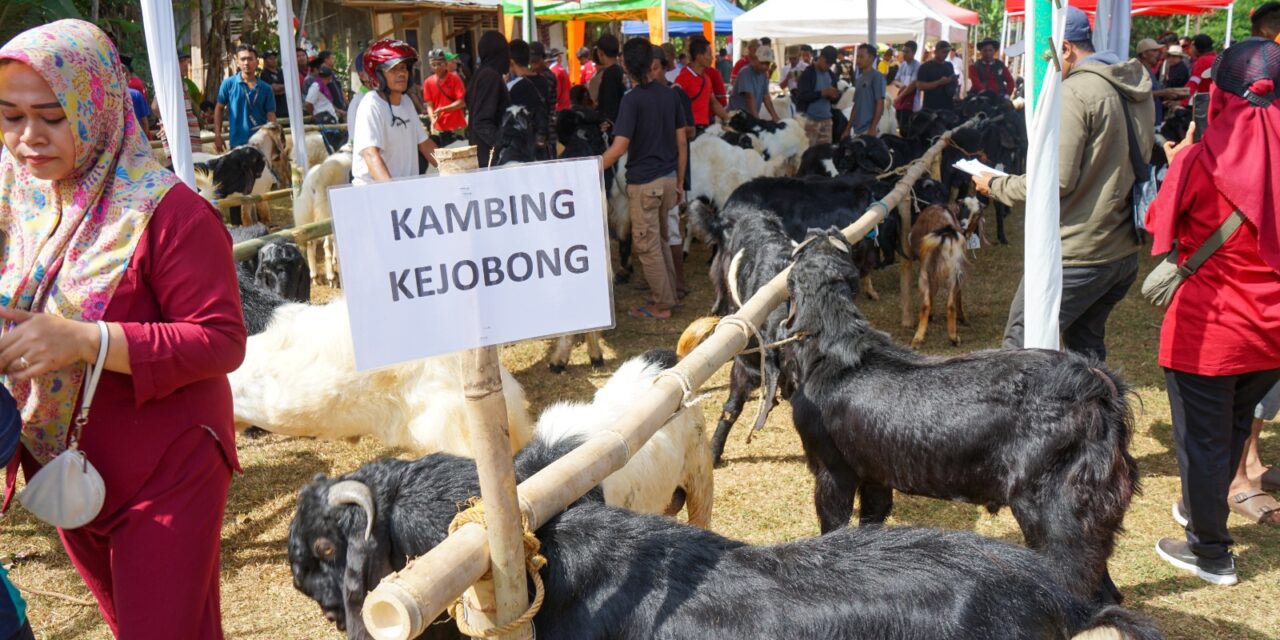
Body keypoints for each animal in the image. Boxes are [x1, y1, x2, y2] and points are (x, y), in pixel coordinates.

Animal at [778, 230, 1141, 604]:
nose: (819, 231)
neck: (831, 348)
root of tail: (1098, 389)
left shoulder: (832, 471)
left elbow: (833, 526)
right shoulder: (875, 474)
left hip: (1056, 511)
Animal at [911, 199, 977, 350]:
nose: (969, 231)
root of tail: (946, 231)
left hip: (927, 271)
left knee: (927, 304)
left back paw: (918, 339)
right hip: (953, 272)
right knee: (950, 304)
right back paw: (953, 338)